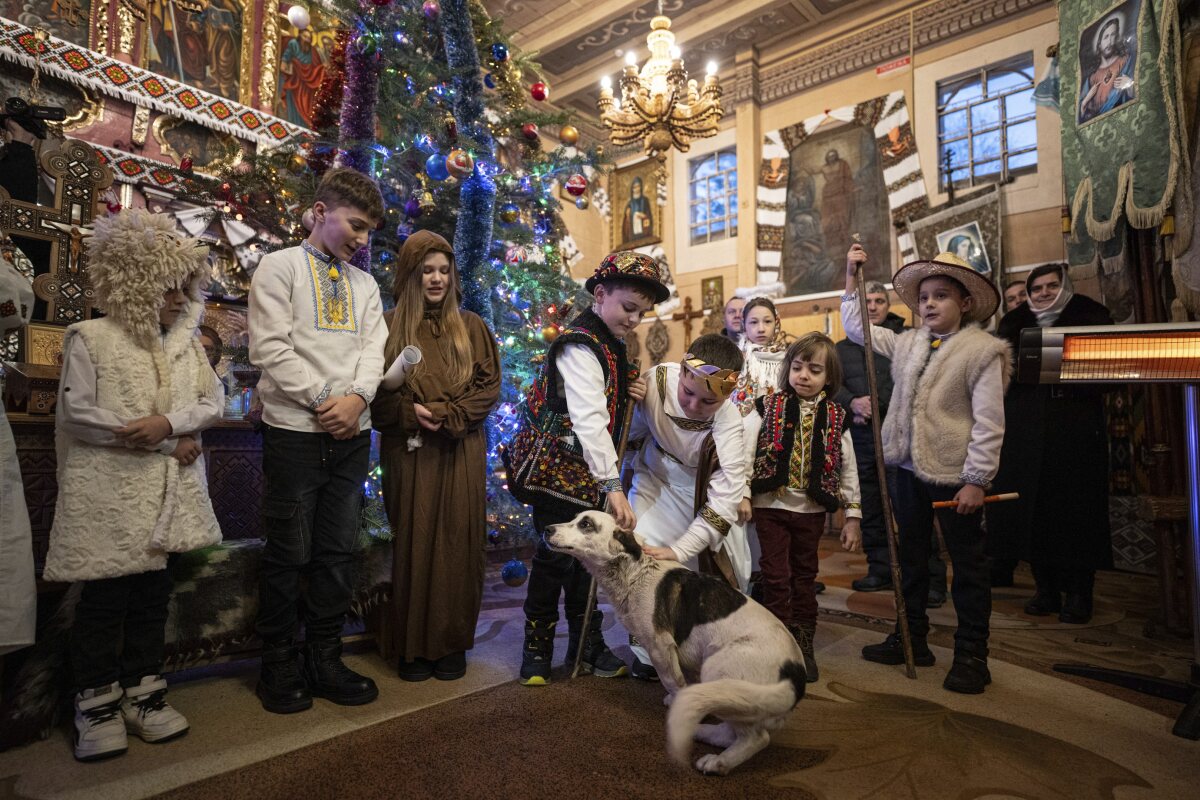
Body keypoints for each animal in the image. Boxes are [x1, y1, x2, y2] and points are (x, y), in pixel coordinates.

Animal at [544, 510, 806, 777]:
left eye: (586, 524)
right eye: (575, 518)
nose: (546, 529)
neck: (636, 570)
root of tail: (795, 675)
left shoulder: (659, 646)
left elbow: (671, 681)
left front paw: (676, 700)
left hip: (718, 670)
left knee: (755, 738)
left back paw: (719, 761)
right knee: (729, 731)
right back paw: (701, 730)